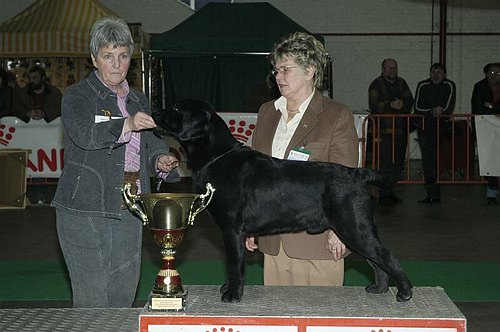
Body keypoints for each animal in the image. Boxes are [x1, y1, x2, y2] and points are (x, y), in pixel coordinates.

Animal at [154, 99, 412, 304]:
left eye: (176, 108)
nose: (155, 110)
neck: (216, 157)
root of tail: (357, 173)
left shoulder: (232, 229)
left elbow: (234, 264)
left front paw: (232, 294)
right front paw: (229, 288)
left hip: (353, 227)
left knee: (386, 256)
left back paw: (405, 292)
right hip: (354, 230)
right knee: (376, 260)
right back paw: (379, 288)